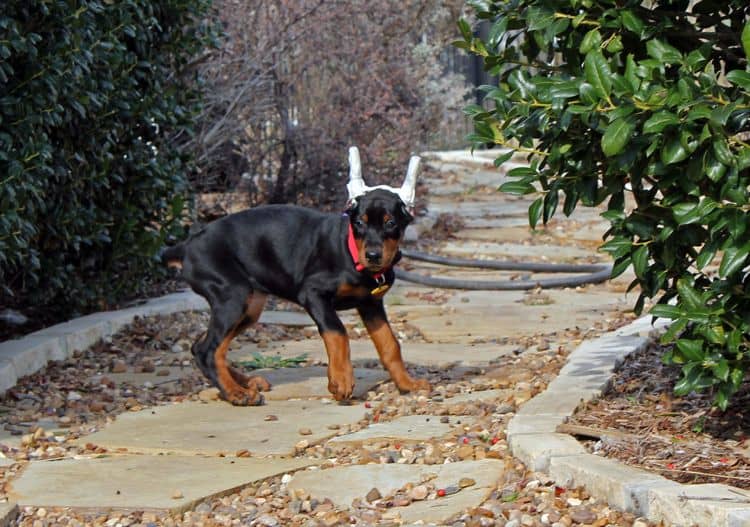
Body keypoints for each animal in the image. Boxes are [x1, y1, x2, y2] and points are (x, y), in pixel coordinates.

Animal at [163, 146, 434, 406]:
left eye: (390, 223)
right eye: (359, 222)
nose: (374, 255)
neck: (351, 253)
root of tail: (187, 246)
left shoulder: (371, 304)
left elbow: (390, 345)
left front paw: (407, 384)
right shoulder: (313, 294)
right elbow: (338, 332)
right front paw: (341, 380)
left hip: (250, 306)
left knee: (201, 347)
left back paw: (245, 383)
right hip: (233, 296)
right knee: (208, 351)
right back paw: (236, 394)